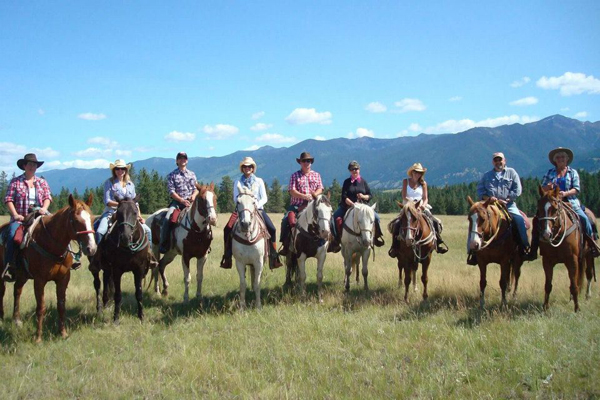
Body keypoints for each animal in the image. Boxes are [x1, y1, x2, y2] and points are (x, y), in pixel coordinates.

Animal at [0, 195, 96, 342]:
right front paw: (38, 337)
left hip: (23, 275)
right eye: (75, 220)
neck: (51, 244)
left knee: (17, 290)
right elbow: (41, 307)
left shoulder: (63, 278)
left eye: (92, 219)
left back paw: (17, 320)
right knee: (3, 291)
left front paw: (63, 333)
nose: (91, 248)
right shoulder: (39, 280)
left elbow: (61, 306)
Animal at [94, 195, 154, 324]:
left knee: (106, 279)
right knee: (97, 284)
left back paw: (106, 303)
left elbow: (139, 293)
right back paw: (100, 308)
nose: (125, 237)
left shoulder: (139, 269)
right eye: (119, 212)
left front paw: (141, 317)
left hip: (107, 268)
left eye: (135, 212)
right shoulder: (117, 270)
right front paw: (116, 318)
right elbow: (118, 295)